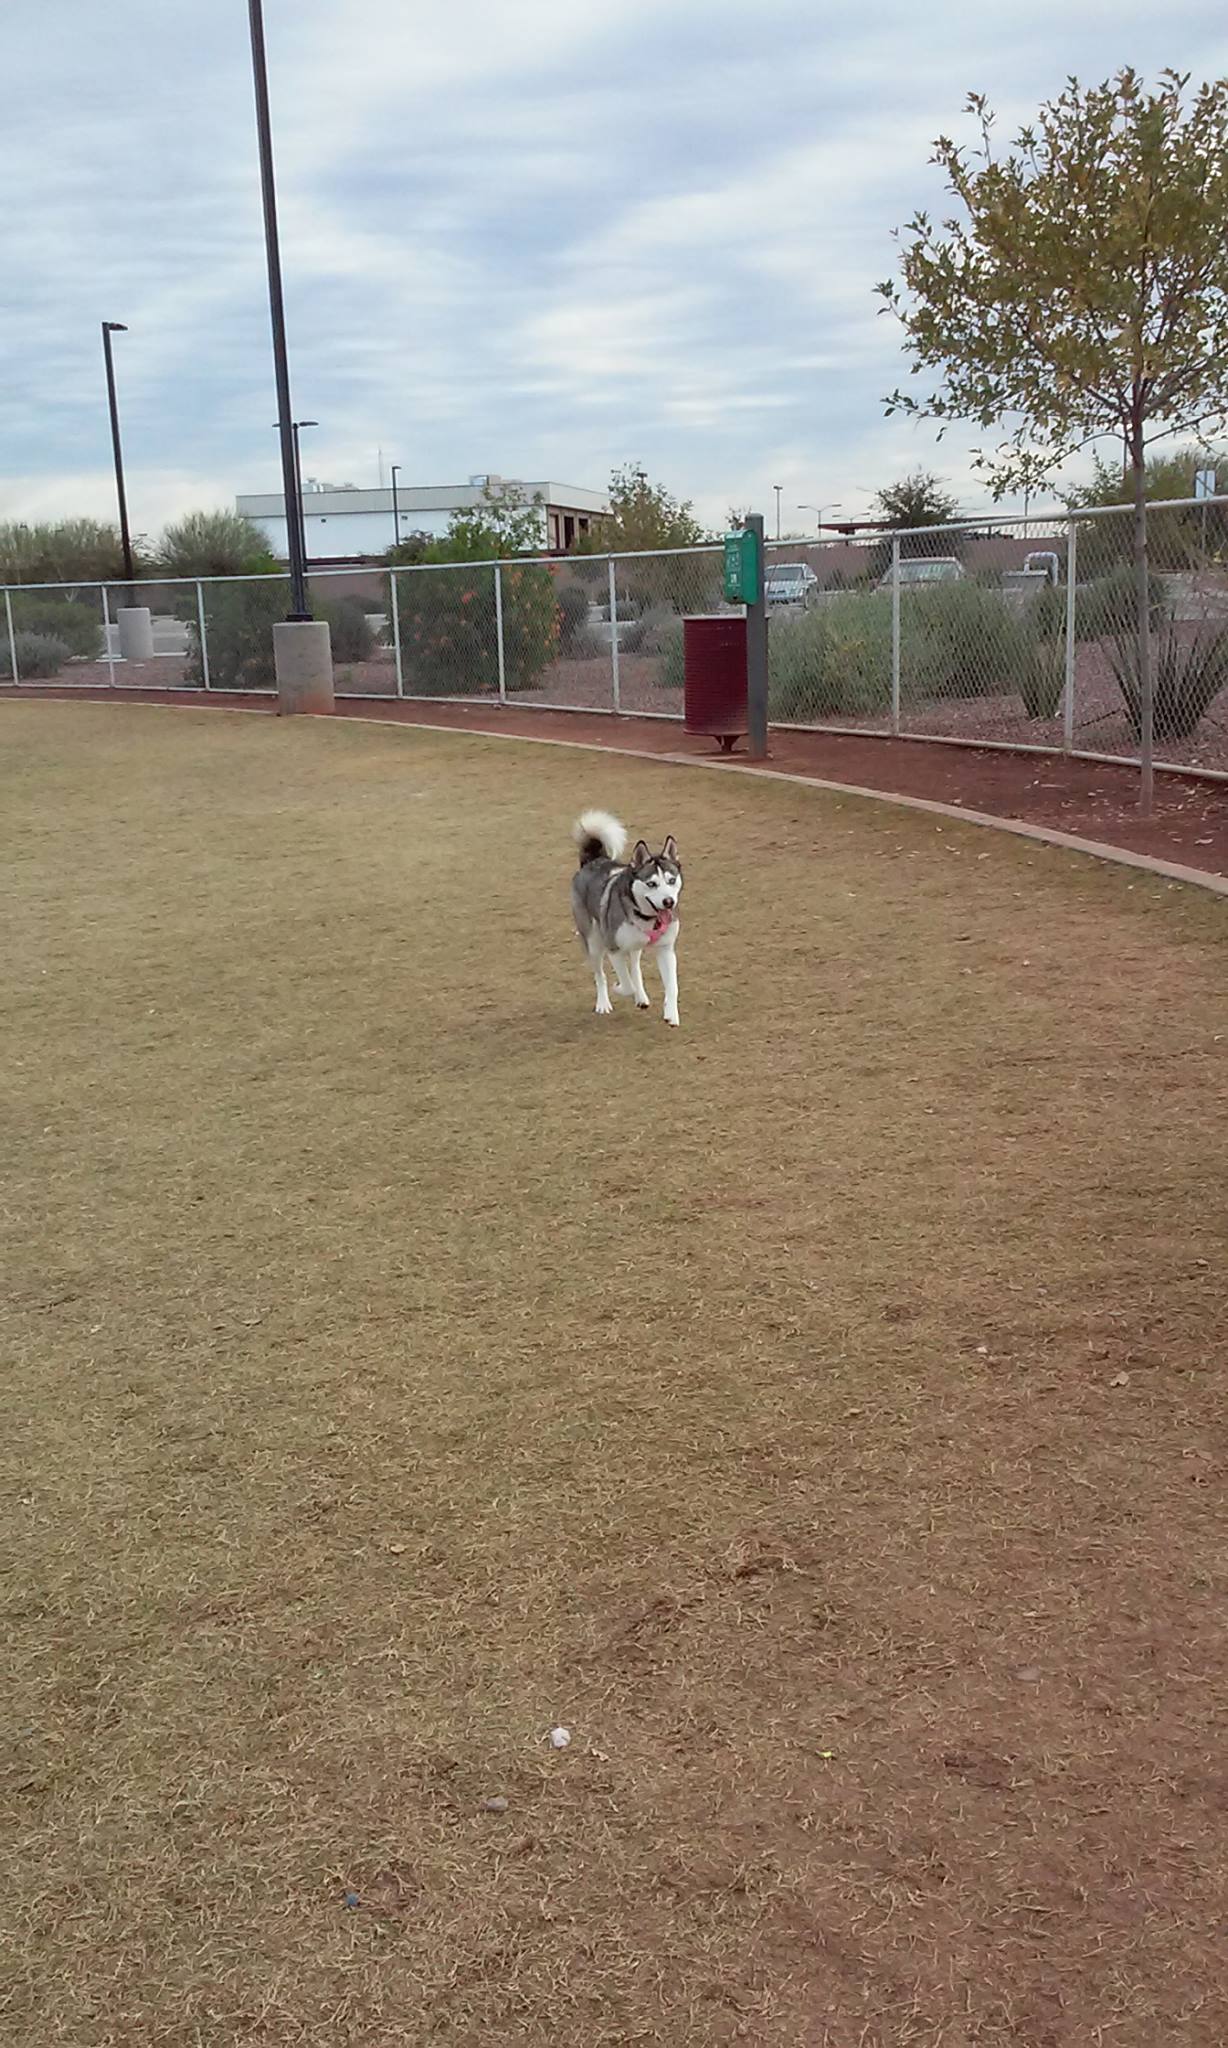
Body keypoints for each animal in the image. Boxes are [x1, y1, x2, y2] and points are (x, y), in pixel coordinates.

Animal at [571, 810, 683, 1027]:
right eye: (651, 884)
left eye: (671, 880)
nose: (668, 902)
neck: (646, 917)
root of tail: (593, 860)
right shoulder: (613, 949)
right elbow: (625, 984)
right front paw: (617, 987)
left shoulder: (666, 950)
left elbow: (672, 986)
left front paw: (671, 1014)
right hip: (594, 942)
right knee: (600, 975)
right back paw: (603, 1003)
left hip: (632, 946)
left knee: (635, 967)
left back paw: (641, 997)